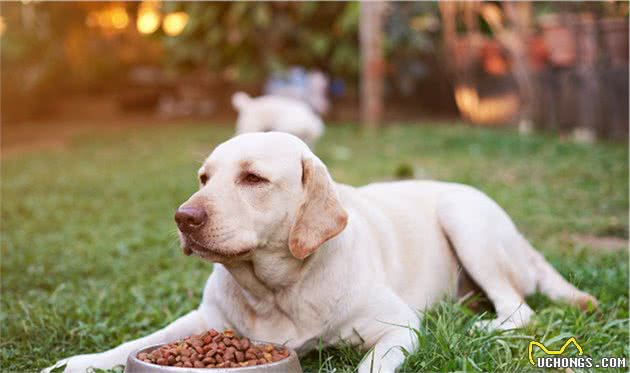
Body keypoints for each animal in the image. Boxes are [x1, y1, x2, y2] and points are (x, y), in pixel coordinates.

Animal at [47, 132, 600, 372]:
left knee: (520, 310)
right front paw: (79, 361)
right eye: (204, 178)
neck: (276, 290)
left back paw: (480, 325)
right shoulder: (204, 321)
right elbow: (139, 341)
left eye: (253, 178)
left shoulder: (398, 327)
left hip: (463, 216)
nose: (184, 217)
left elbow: (371, 365)